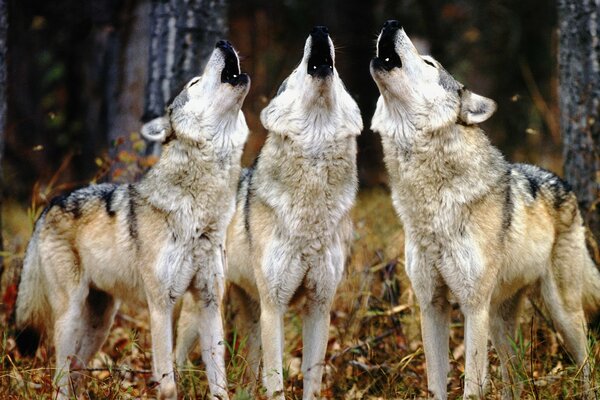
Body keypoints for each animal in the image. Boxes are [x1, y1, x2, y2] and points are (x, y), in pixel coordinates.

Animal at [15, 40, 251, 400]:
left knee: (77, 371)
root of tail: (50, 204)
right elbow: (167, 384)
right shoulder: (160, 305)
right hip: (70, 316)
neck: (200, 214)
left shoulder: (209, 302)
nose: (223, 43)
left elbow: (219, 382)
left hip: (100, 322)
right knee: (60, 379)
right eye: (194, 82)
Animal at [176, 26, 364, 398]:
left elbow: (312, 380)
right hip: (205, 310)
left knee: (249, 369)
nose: (319, 30)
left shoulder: (320, 306)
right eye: (295, 72)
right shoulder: (274, 307)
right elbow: (276, 381)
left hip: (250, 313)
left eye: (340, 78)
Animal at [370, 21, 600, 400]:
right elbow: (436, 384)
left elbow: (472, 386)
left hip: (559, 312)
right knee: (514, 378)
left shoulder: (472, 307)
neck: (431, 203)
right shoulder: (431, 305)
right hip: (499, 319)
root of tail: (563, 183)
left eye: (429, 62)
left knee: (586, 362)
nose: (391, 24)